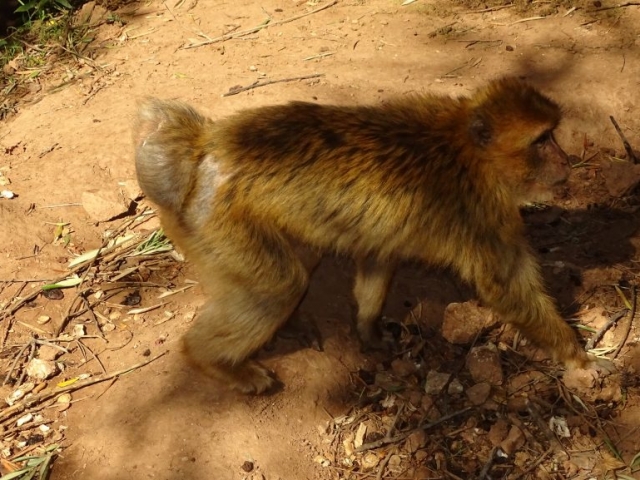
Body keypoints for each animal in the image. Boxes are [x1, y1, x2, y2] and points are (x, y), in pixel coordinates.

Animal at [134, 77, 609, 394]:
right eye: (542, 140)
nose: (566, 161)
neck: (467, 152)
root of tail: (203, 150)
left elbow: (378, 256)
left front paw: (368, 330)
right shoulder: (479, 212)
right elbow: (506, 285)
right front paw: (575, 357)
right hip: (219, 224)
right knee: (278, 286)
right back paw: (214, 361)